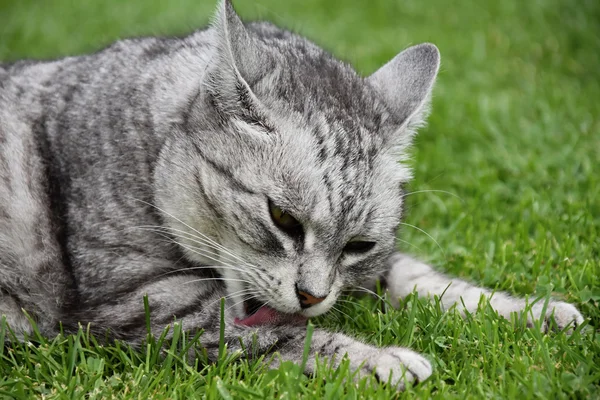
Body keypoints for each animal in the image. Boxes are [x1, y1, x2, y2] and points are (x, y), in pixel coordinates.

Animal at [0, 0, 580, 390]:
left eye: (358, 246)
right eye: (282, 218)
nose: (312, 296)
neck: (148, 143)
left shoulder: (373, 268)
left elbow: (422, 279)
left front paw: (532, 311)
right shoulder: (147, 300)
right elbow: (284, 337)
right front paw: (381, 361)